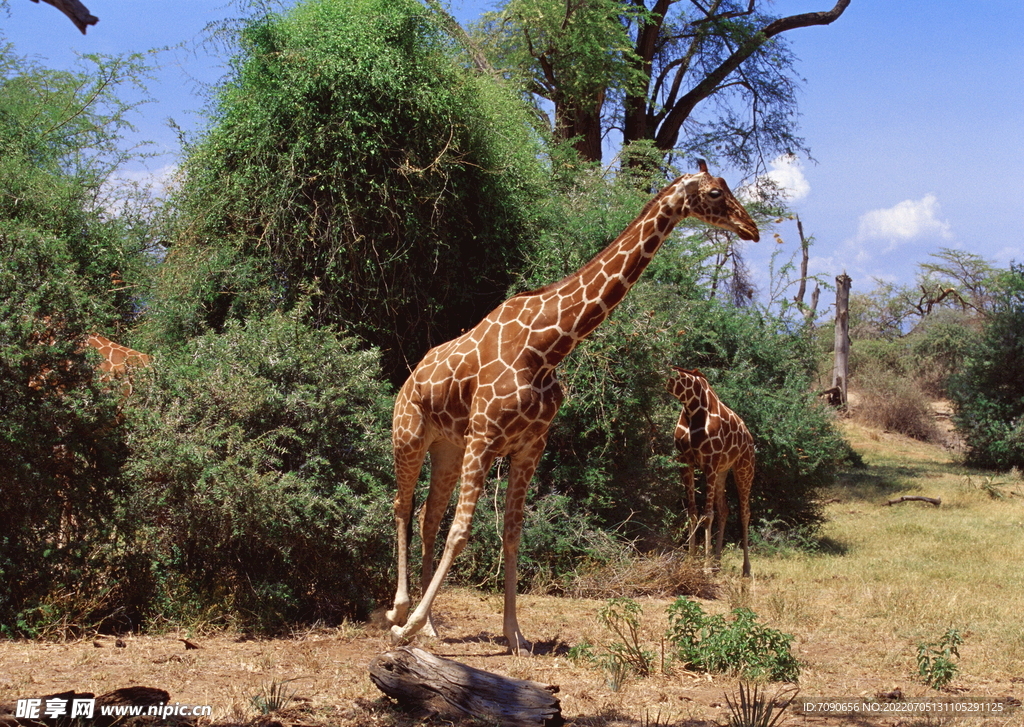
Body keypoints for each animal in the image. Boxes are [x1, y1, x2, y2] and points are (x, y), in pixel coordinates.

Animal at [667, 370, 757, 581]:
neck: (690, 404)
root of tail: (749, 436)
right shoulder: (686, 462)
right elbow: (692, 512)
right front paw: (690, 562)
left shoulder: (709, 462)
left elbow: (707, 515)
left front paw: (705, 569)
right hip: (722, 471)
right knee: (724, 509)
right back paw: (717, 563)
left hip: (744, 467)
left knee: (744, 512)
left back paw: (745, 569)